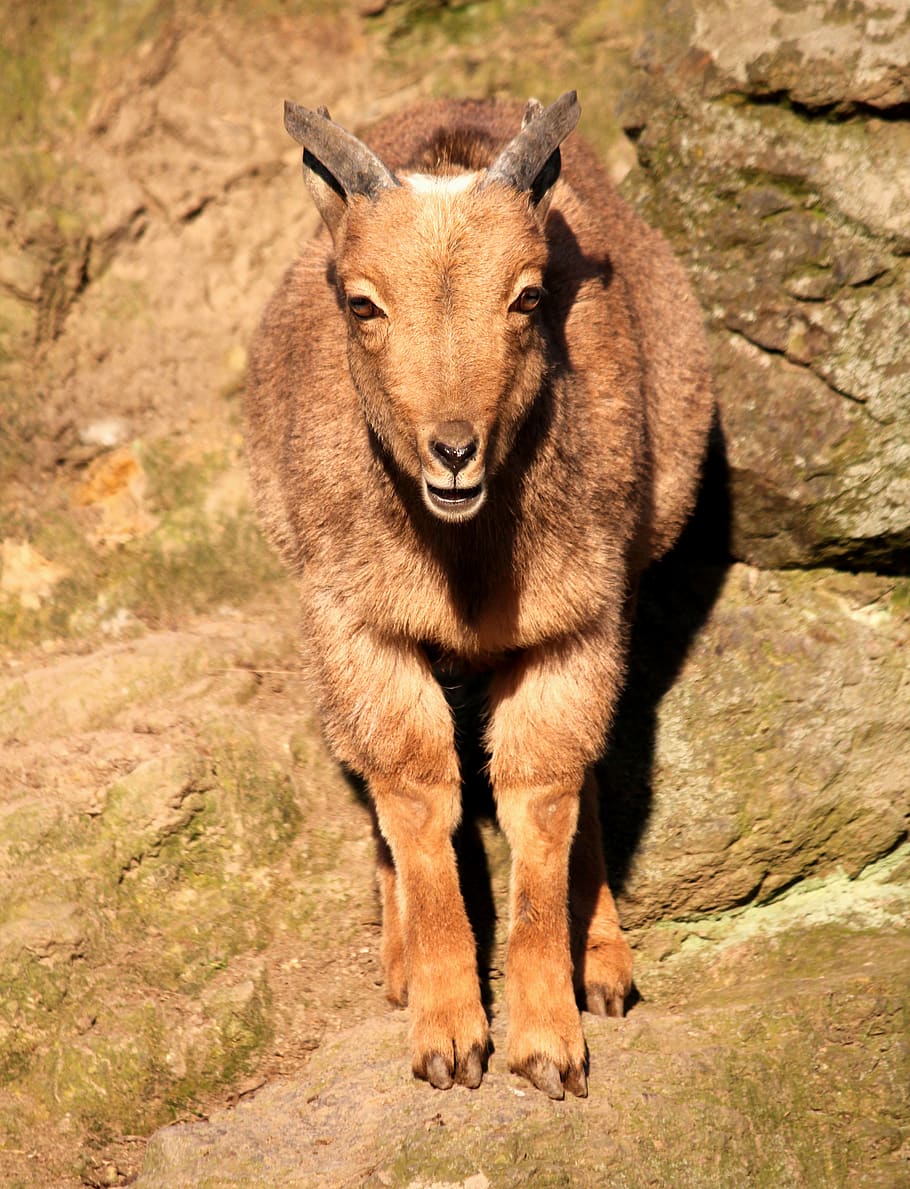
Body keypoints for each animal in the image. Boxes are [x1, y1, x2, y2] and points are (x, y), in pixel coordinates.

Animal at [244, 92, 713, 1099]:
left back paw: (604, 961)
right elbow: (414, 794)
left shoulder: (578, 623)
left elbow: (542, 794)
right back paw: (397, 960)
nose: (453, 450)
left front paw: (548, 1041)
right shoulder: (357, 627)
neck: (464, 561)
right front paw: (447, 1031)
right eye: (362, 301)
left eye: (529, 295)